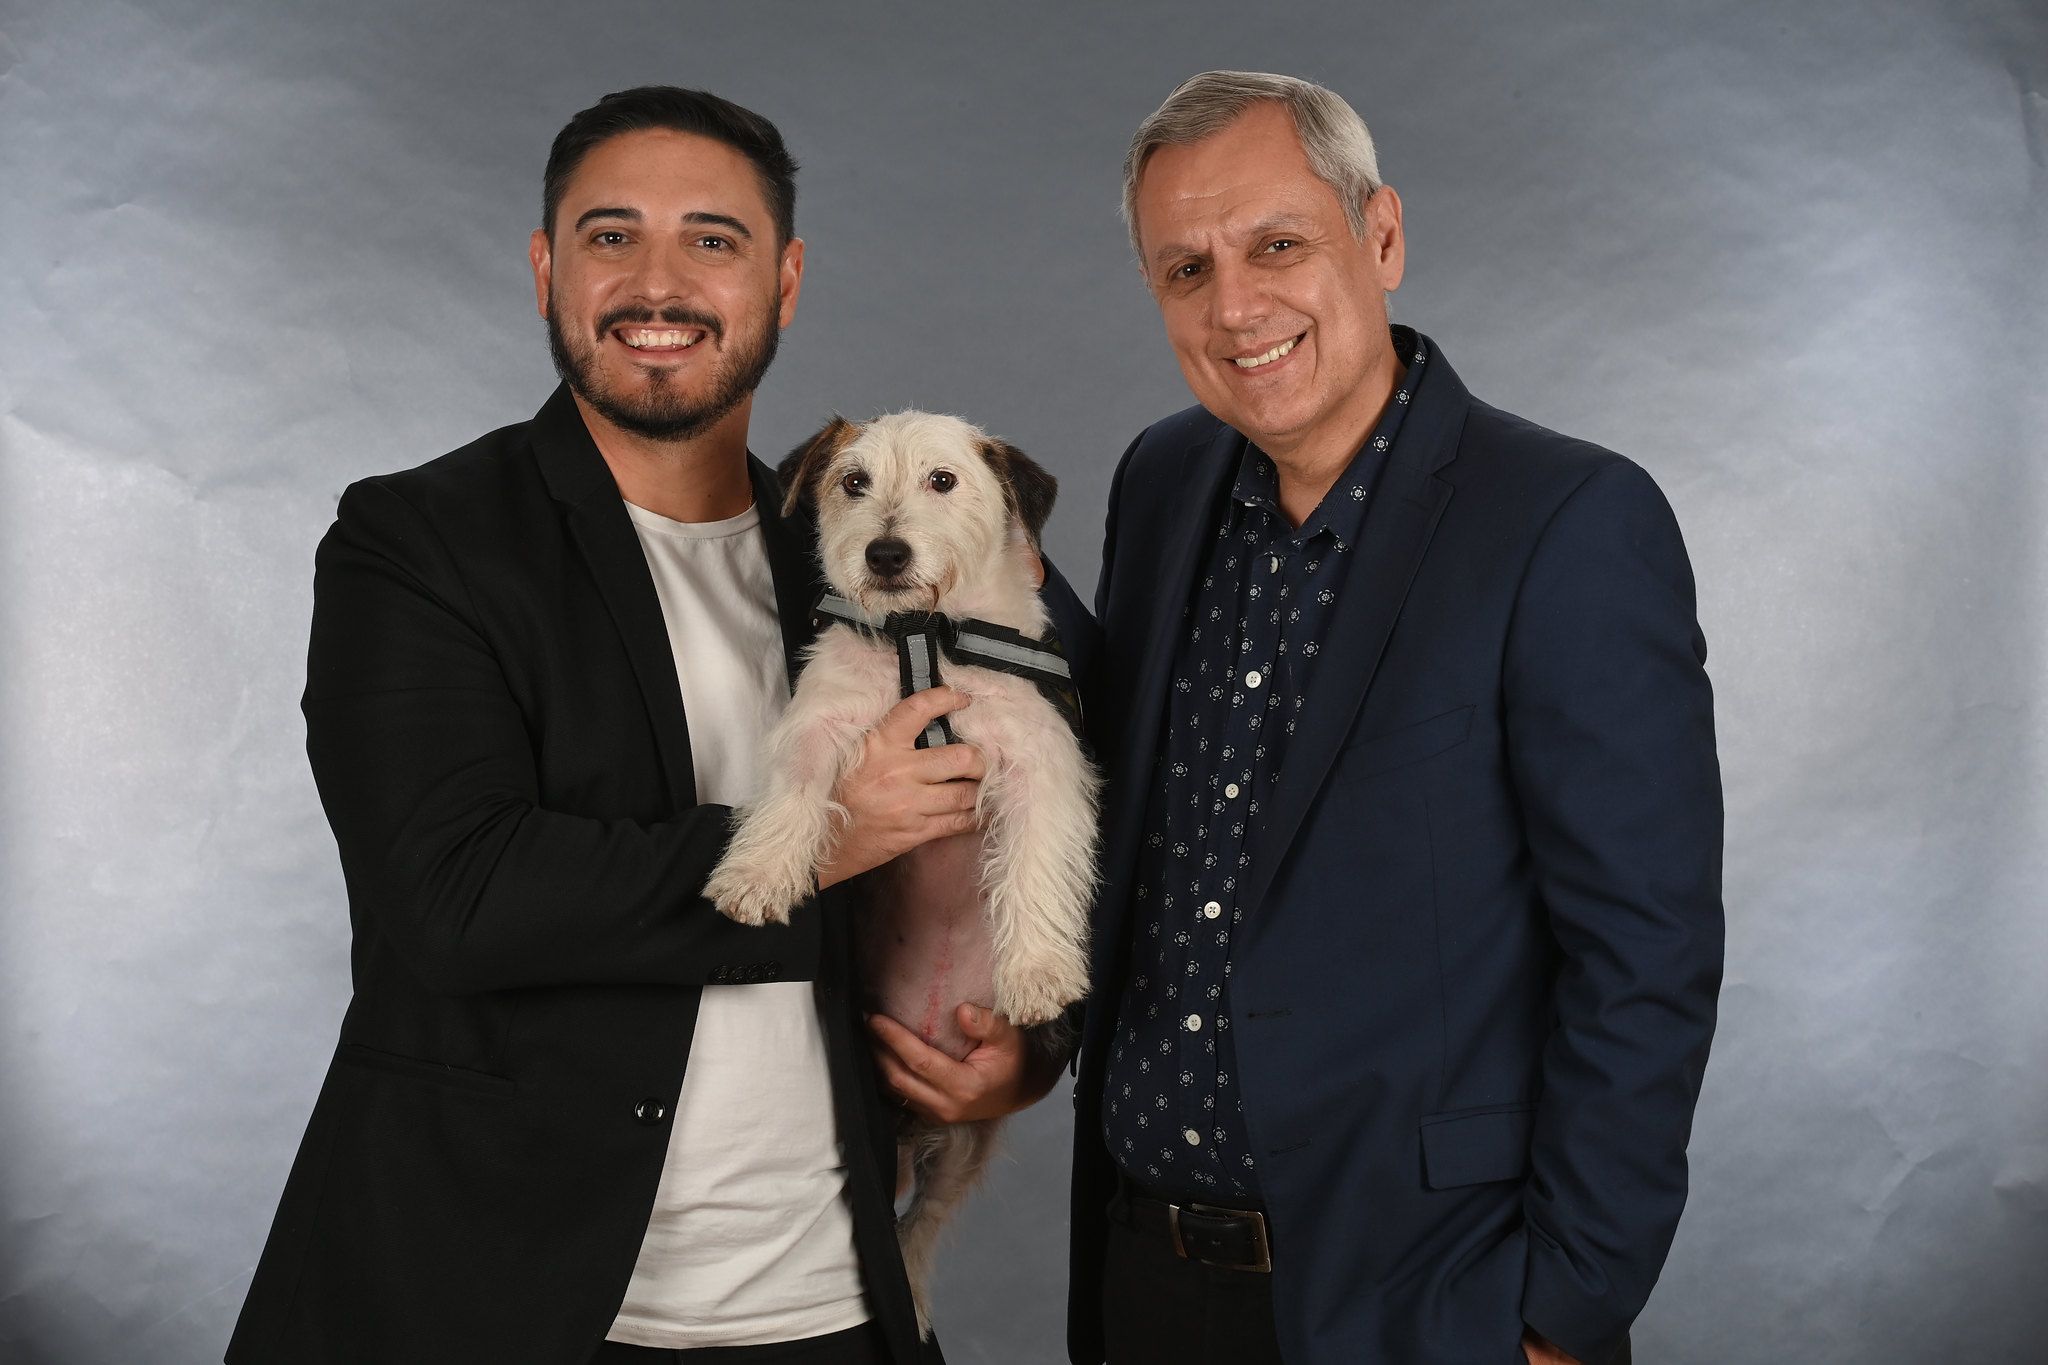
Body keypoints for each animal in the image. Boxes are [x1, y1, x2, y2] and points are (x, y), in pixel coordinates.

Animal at [700, 411, 1097, 1342]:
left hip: (964, 1141)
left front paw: (1038, 972)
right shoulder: (820, 720)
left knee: (924, 1221)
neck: (924, 635)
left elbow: (1035, 862)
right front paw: (759, 872)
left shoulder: (1041, 761)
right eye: (853, 481)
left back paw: (910, 1292)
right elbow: (794, 787)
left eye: (942, 481)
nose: (884, 553)